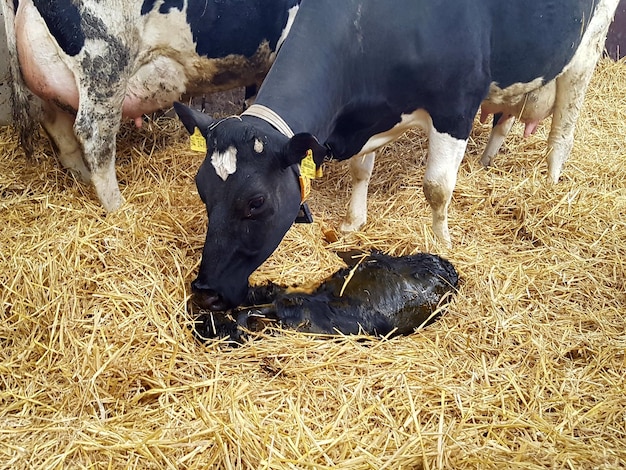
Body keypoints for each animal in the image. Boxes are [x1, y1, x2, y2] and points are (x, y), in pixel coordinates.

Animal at [1, 0, 300, 210]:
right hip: (104, 64)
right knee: (95, 137)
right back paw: (119, 208)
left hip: (47, 79)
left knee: (59, 129)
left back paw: (83, 180)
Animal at [174, 0, 616, 312]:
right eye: (202, 191)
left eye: (257, 202)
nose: (205, 291)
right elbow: (360, 171)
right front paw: (353, 222)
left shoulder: (456, 105)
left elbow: (437, 187)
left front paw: (443, 241)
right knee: (504, 119)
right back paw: (487, 162)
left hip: (587, 50)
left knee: (563, 129)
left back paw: (551, 185)